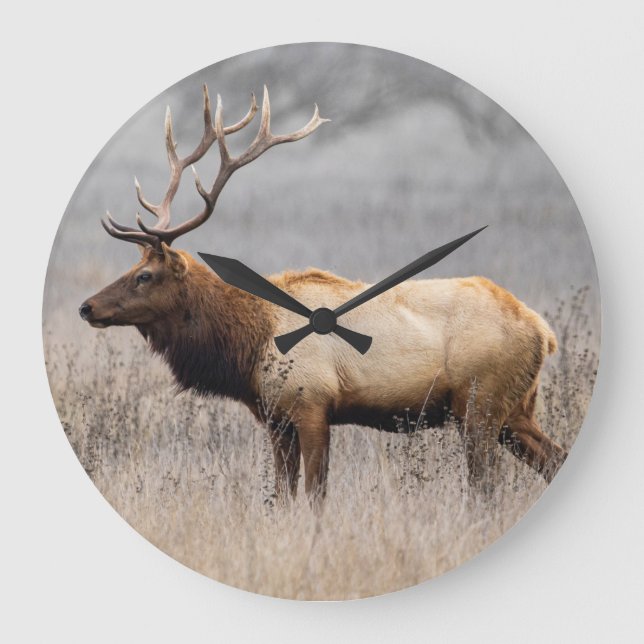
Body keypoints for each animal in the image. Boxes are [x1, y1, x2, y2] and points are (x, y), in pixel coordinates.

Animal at [79, 85, 568, 506]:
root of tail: (543, 332)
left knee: (486, 487)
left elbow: (315, 496)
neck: (247, 346)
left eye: (144, 275)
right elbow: (282, 497)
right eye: (131, 268)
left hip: (479, 405)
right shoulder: (275, 419)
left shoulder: (311, 404)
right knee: (553, 458)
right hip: (515, 410)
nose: (87, 306)